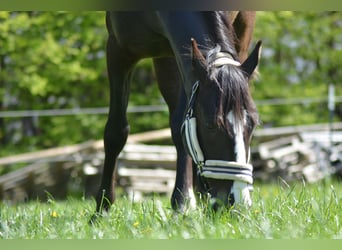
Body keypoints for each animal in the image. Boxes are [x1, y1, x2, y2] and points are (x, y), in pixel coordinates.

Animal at [92, 10, 260, 216]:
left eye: (253, 124)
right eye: (211, 125)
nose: (238, 201)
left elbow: (181, 129)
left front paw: (182, 203)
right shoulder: (118, 49)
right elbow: (115, 132)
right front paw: (102, 209)